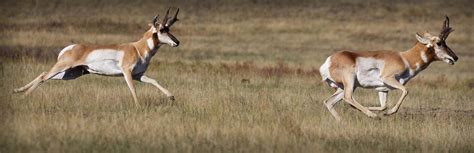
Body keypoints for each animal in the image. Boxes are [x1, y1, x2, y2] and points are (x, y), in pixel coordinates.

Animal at [12, 7, 181, 107]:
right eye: (162, 30)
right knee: (43, 76)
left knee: (44, 75)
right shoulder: (127, 73)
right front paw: (138, 106)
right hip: (63, 67)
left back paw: (17, 91)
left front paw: (171, 96)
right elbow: (132, 88)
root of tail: (72, 47)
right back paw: (23, 96)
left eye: (169, 29)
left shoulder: (138, 75)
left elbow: (154, 81)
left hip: (71, 74)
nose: (177, 42)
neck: (137, 48)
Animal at [320, 15, 458, 120]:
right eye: (439, 43)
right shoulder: (388, 78)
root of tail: (329, 60)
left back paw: (342, 120)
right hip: (350, 82)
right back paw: (373, 116)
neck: (405, 58)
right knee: (347, 97)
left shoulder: (383, 89)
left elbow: (384, 106)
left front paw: (383, 112)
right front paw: (389, 113)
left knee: (329, 102)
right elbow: (406, 90)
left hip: (343, 87)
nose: (455, 58)